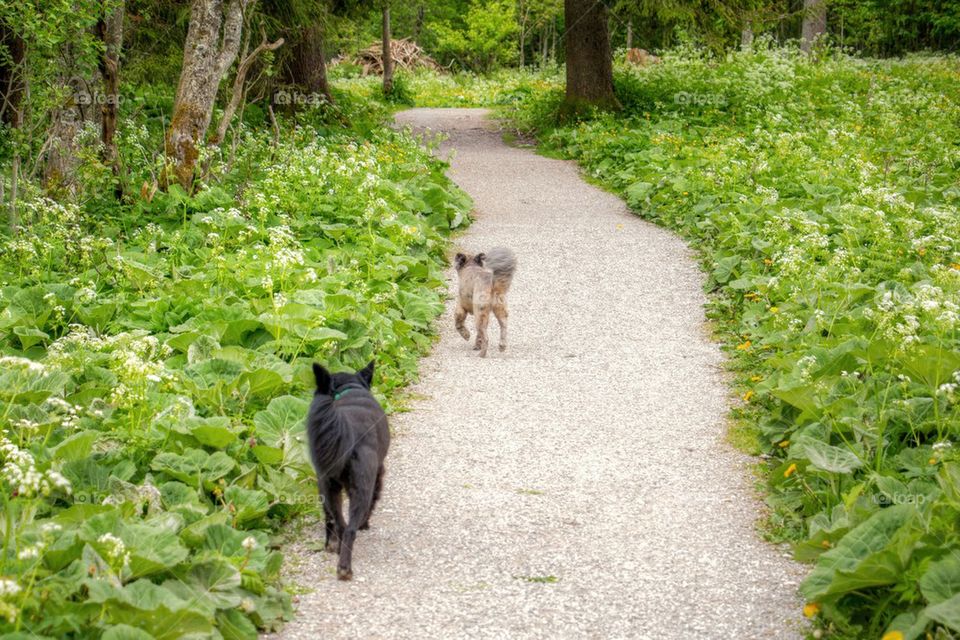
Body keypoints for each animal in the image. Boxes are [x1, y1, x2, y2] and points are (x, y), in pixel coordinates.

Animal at [304, 360, 386, 580]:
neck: (349, 388)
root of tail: (348, 434)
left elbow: (328, 517)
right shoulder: (378, 472)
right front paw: (365, 523)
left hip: (327, 486)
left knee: (338, 523)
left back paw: (336, 549)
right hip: (361, 488)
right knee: (350, 529)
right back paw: (344, 568)